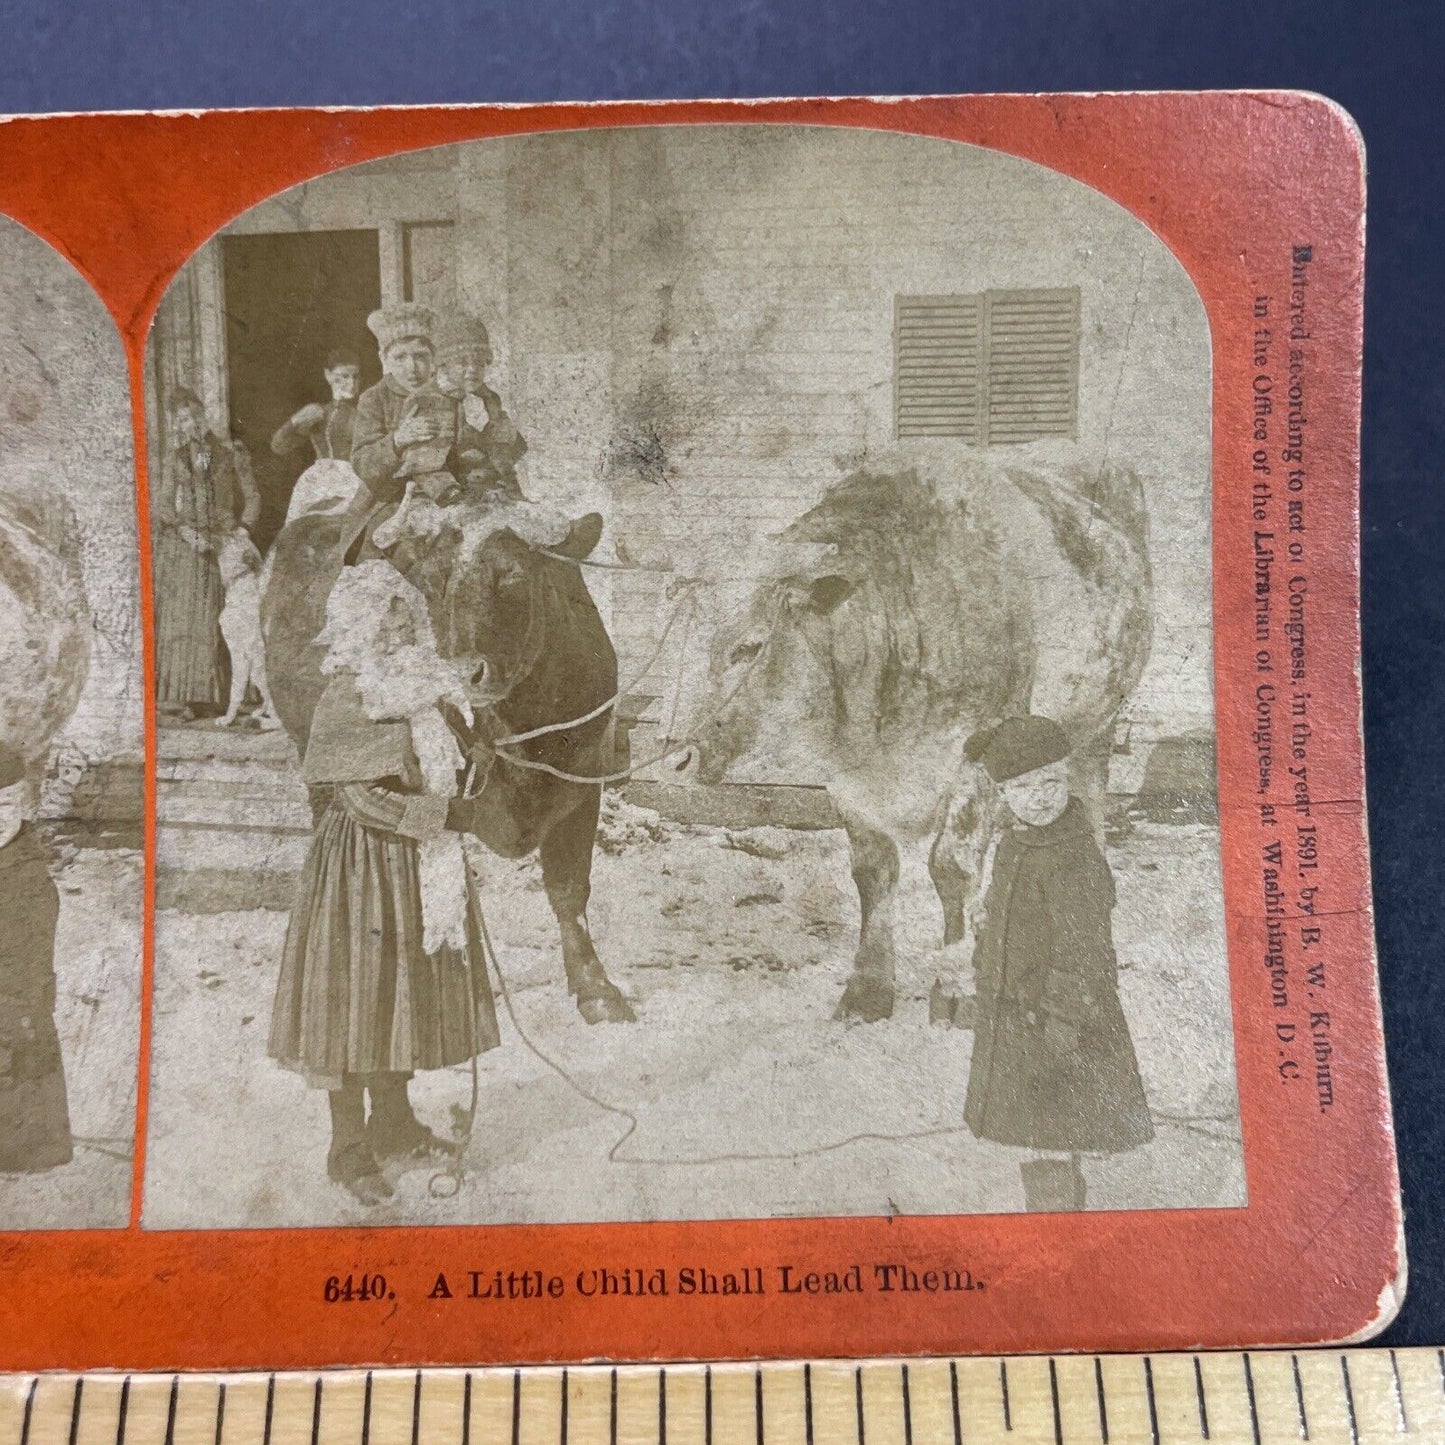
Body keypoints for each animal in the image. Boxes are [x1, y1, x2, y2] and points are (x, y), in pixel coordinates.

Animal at [215, 531, 280, 728]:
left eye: (233, 539)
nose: (223, 530)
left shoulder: (239, 654)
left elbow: (235, 691)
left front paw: (227, 719)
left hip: (258, 670)